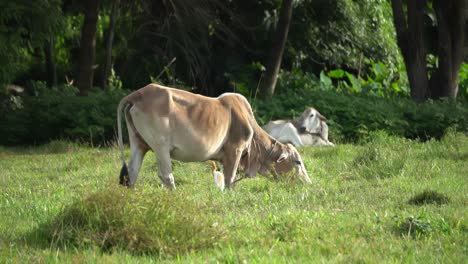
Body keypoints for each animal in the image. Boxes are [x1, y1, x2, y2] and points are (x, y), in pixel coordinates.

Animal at [117, 83, 310, 189]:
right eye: (298, 162)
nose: (307, 183)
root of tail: (139, 94)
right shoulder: (235, 150)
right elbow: (230, 179)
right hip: (160, 147)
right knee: (166, 176)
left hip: (139, 144)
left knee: (131, 173)